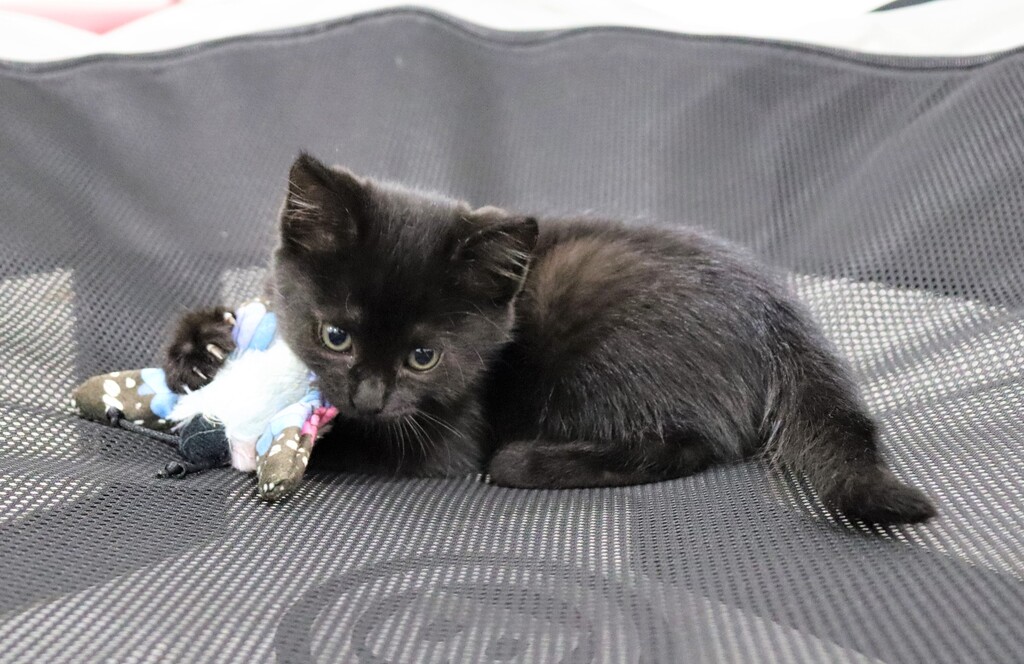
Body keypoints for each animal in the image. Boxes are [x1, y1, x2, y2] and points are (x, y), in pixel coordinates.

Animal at [164, 152, 936, 525]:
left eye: (423, 356)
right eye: (335, 334)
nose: (372, 397)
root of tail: (780, 310)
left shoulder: (448, 435)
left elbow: (384, 446)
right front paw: (201, 347)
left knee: (694, 443)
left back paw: (527, 461)